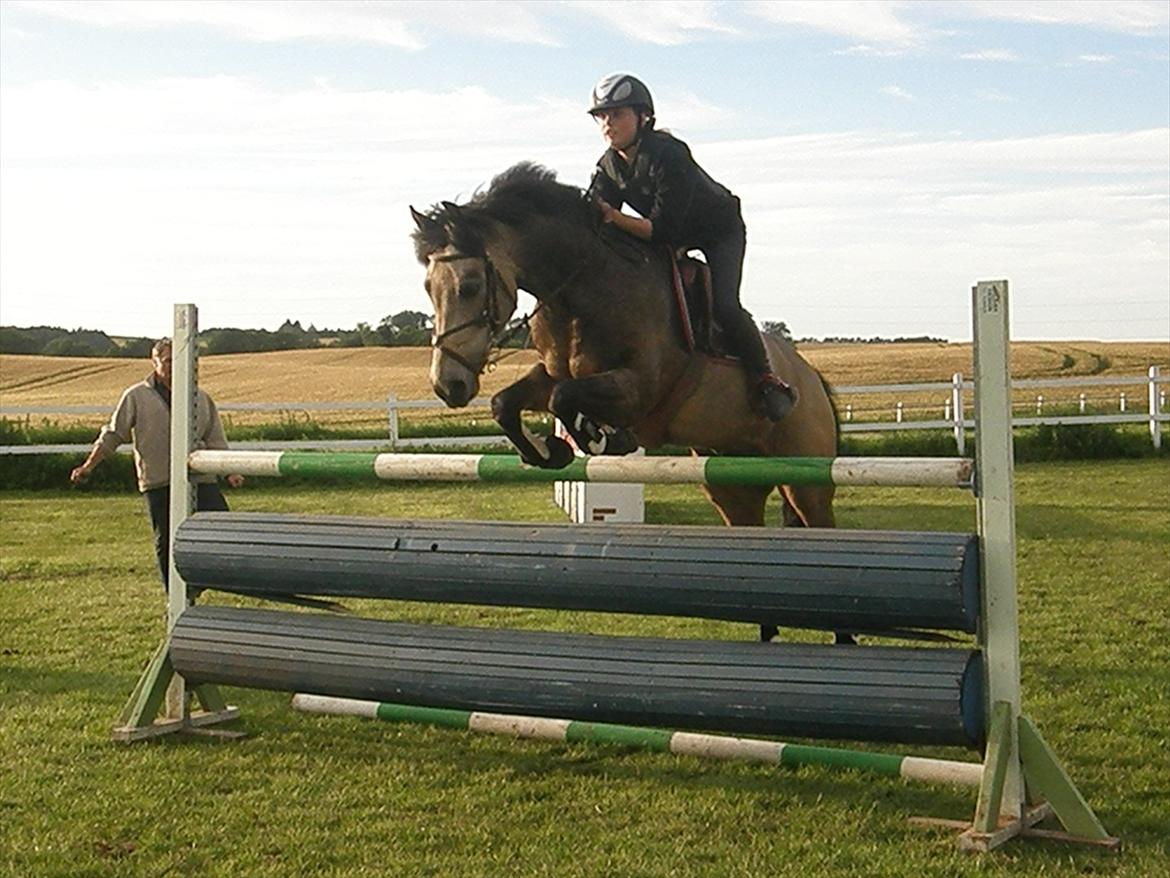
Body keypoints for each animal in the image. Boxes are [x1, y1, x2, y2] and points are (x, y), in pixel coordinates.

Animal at [407, 163, 837, 536]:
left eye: (470, 286)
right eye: (428, 287)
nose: (448, 385)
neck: (583, 286)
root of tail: (812, 377)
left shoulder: (640, 387)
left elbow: (566, 399)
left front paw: (603, 438)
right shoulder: (552, 374)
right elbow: (507, 403)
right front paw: (547, 451)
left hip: (807, 481)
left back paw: (774, 396)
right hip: (731, 482)